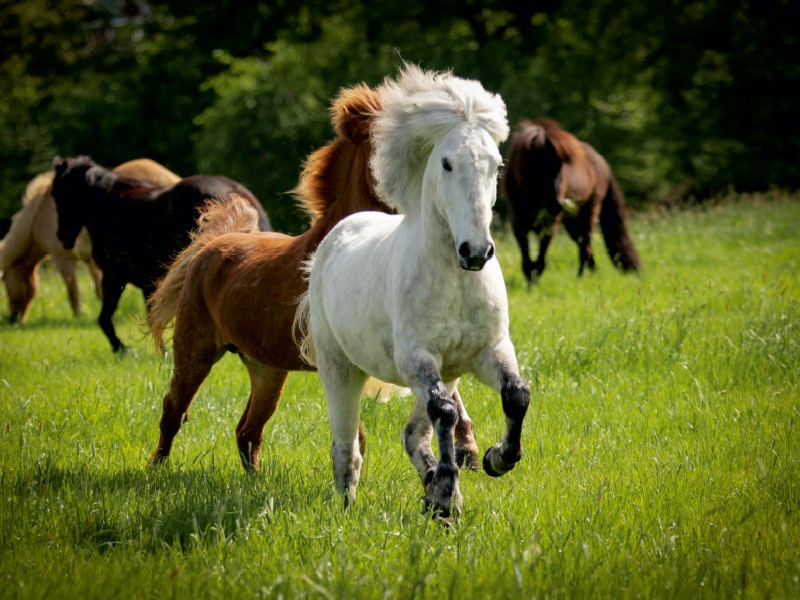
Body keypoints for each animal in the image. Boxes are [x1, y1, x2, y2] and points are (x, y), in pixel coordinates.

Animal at [1, 157, 180, 322]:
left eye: (4, 281)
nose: (13, 318)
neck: (38, 218)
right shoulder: (92, 260)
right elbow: (98, 287)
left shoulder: (62, 257)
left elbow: (73, 291)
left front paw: (78, 317)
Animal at [53, 156, 274, 352]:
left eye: (57, 193)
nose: (62, 237)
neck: (109, 206)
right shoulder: (148, 283)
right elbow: (153, 316)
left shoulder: (114, 276)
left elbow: (106, 318)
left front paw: (123, 348)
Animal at [145, 84, 482, 474]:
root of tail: (212, 246)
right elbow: (356, 425)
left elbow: (448, 392)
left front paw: (469, 450)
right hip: (195, 351)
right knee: (174, 410)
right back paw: (155, 470)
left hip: (267, 369)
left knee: (248, 430)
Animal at [296, 63, 528, 516]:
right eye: (447, 164)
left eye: (495, 164)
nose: (476, 250)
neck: (456, 281)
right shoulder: (415, 357)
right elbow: (445, 414)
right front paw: (446, 503)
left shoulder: (488, 350)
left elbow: (515, 396)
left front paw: (495, 461)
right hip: (339, 368)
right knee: (347, 447)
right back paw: (351, 504)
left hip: (448, 371)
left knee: (413, 432)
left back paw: (432, 487)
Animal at [504, 118, 640, 280]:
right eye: (541, 168)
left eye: (560, 169)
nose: (557, 205)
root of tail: (602, 160)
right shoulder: (518, 223)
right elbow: (527, 261)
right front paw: (531, 281)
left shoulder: (550, 223)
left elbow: (541, 259)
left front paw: (535, 277)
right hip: (571, 221)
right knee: (583, 245)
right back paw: (594, 274)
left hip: (589, 212)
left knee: (585, 246)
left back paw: (580, 278)